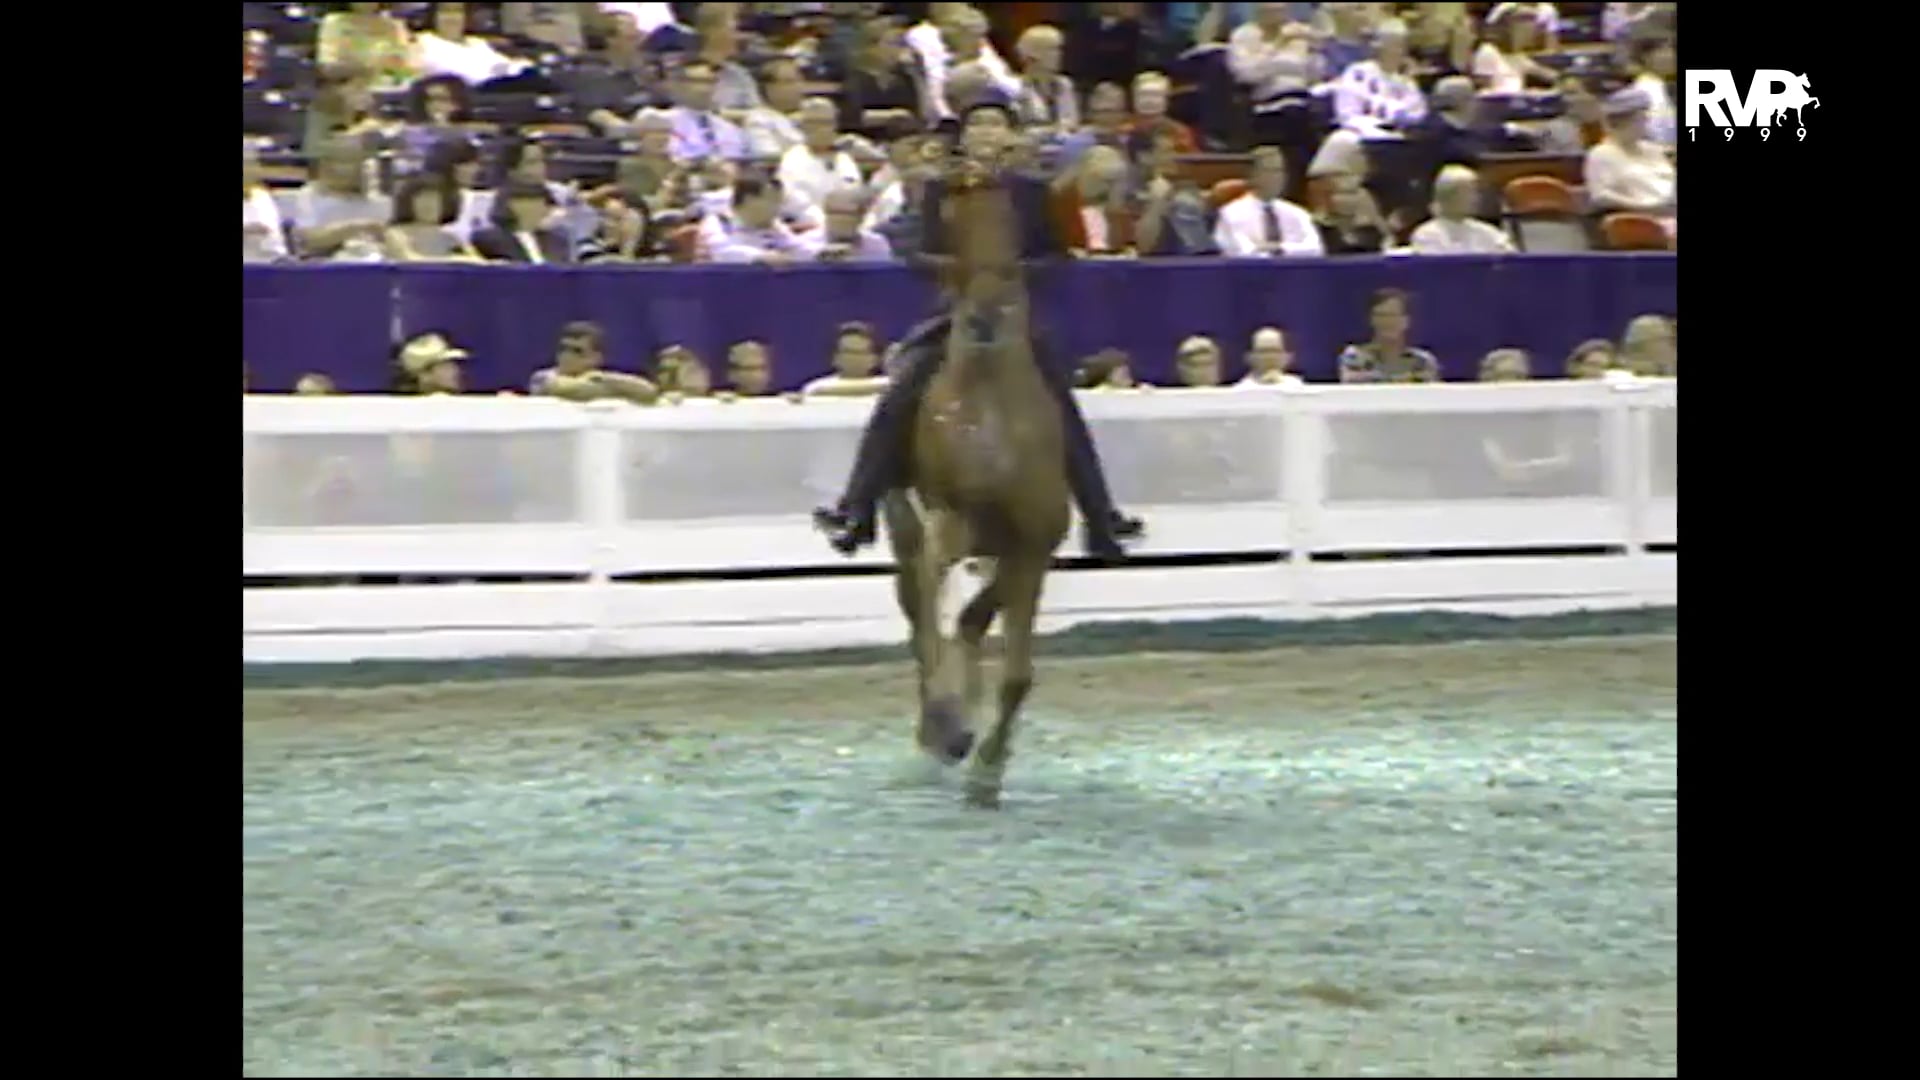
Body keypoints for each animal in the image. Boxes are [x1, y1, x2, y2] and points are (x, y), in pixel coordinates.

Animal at [882, 160, 1071, 809]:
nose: (897, 222)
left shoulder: (1032, 549)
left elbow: (1015, 673)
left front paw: (987, 771)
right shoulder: (948, 524)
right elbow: (933, 622)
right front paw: (949, 727)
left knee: (963, 621)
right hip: (915, 521)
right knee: (920, 611)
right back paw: (937, 727)